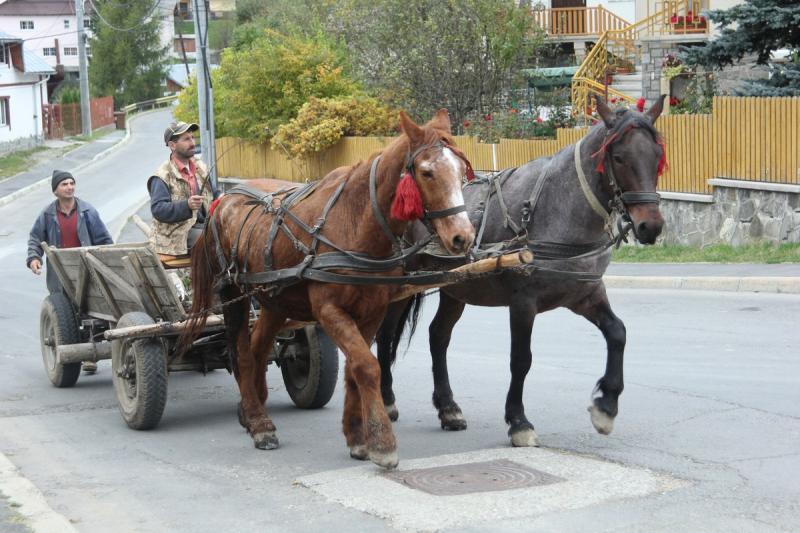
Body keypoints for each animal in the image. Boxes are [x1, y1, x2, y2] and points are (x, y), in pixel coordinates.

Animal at [181, 110, 476, 468]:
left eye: (461, 170)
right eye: (427, 172)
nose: (463, 236)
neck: (353, 223)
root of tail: (223, 200)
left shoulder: (372, 312)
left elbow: (355, 369)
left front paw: (357, 436)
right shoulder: (329, 311)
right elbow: (368, 366)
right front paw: (382, 441)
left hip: (275, 300)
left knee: (259, 346)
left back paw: (252, 411)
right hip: (232, 295)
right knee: (243, 353)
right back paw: (259, 423)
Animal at [378, 95, 664, 444]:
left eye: (657, 157)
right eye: (620, 157)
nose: (650, 226)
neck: (557, 209)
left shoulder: (585, 295)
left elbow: (618, 333)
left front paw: (606, 407)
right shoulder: (523, 303)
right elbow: (521, 359)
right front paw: (518, 421)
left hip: (455, 289)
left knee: (438, 336)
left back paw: (448, 407)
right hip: (398, 286)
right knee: (385, 335)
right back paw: (387, 400)